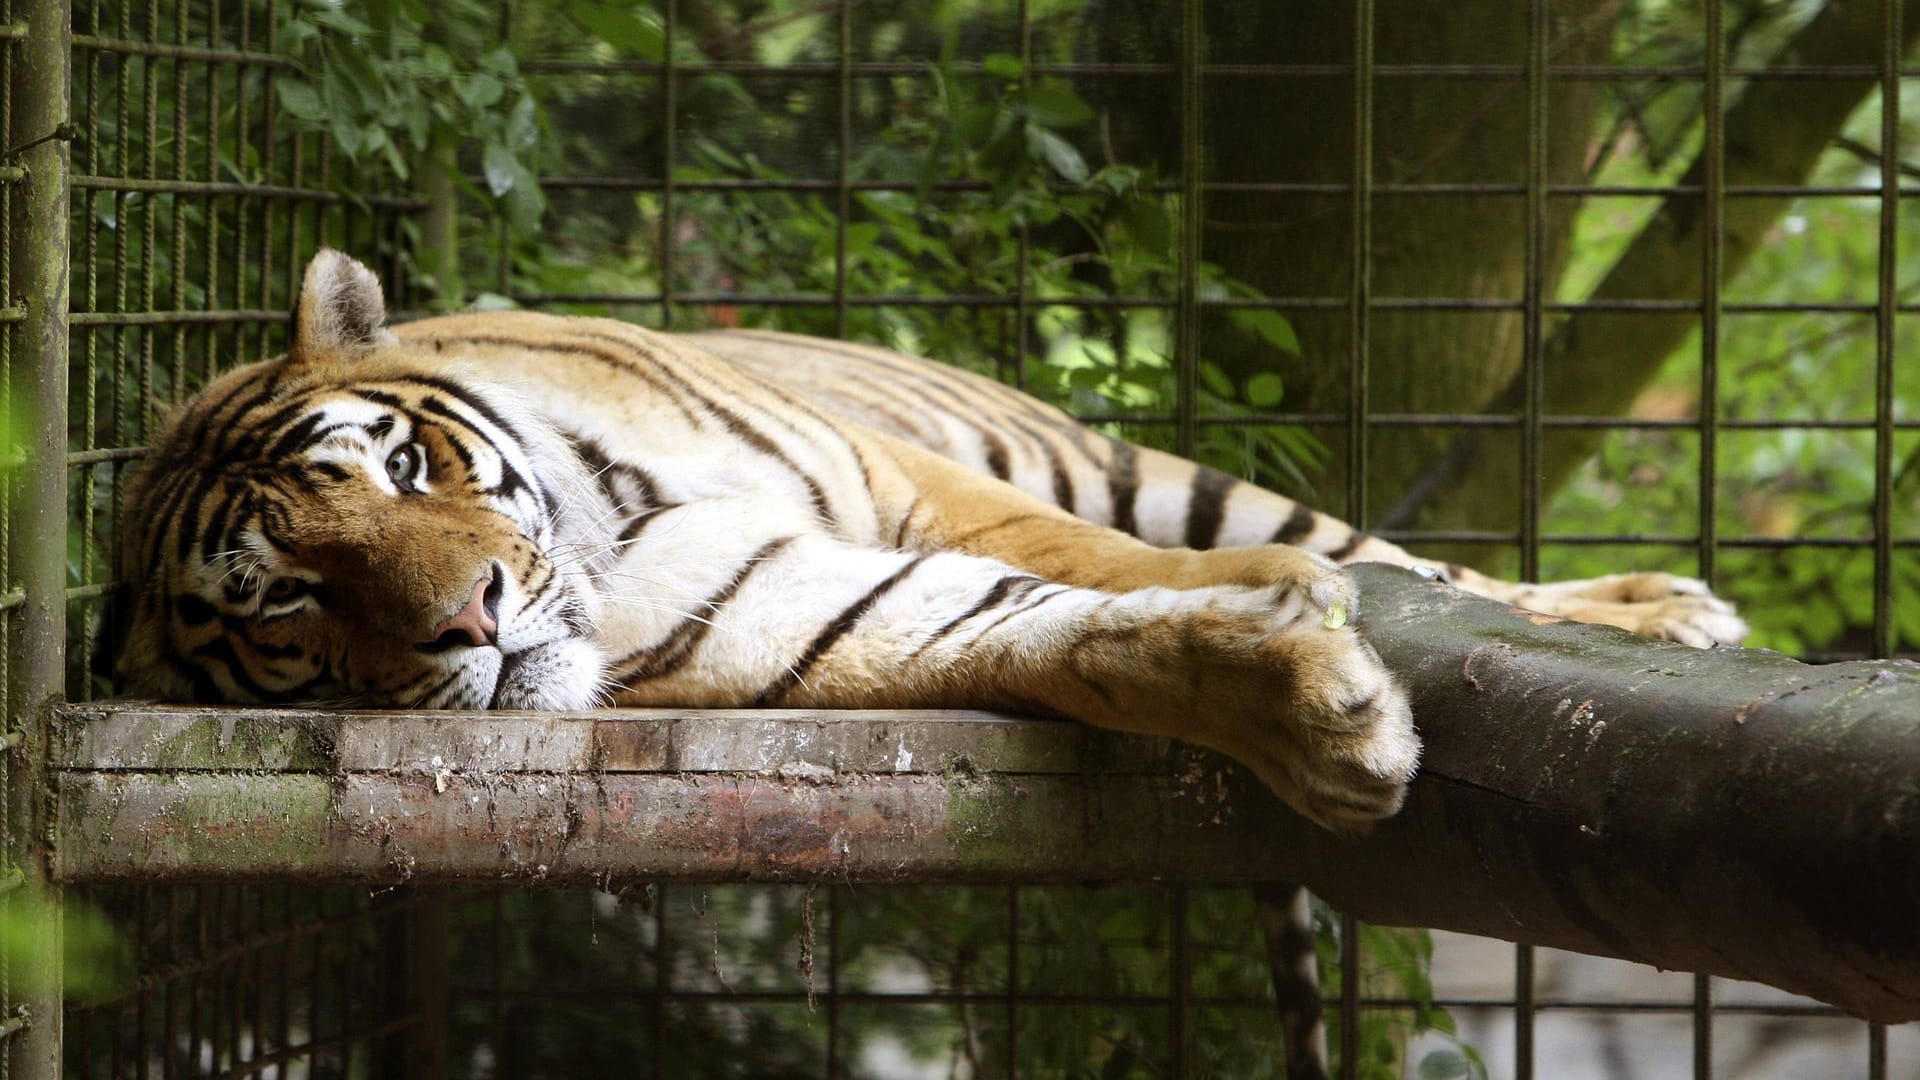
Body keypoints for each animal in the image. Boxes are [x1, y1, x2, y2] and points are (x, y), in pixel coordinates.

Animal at [112, 249, 1751, 822]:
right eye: (288, 605)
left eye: (397, 467)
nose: (472, 620)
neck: (615, 535)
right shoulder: (810, 619)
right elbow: (1073, 639)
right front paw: (1317, 715)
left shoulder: (910, 484)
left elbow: (1105, 563)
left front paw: (1294, 600)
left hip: (1129, 457)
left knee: (1425, 566)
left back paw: (1664, 608)